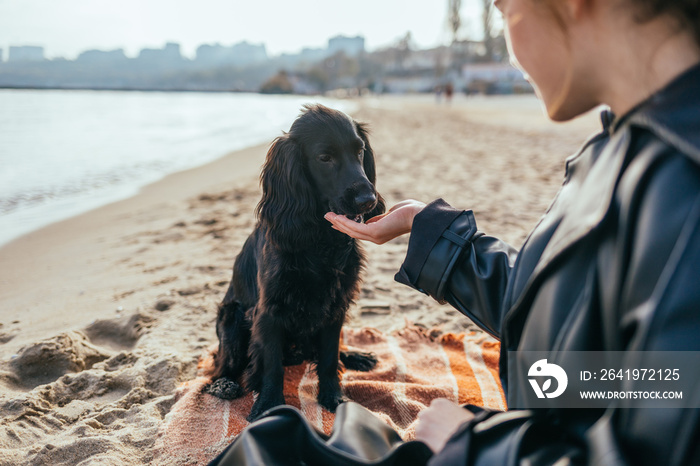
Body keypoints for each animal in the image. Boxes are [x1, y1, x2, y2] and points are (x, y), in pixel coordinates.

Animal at [205, 104, 386, 422]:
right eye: (324, 158)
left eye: (360, 151)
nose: (368, 200)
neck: (319, 240)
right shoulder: (269, 312)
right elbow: (272, 365)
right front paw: (268, 405)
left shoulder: (336, 305)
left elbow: (329, 357)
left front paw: (333, 397)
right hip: (232, 316)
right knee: (220, 364)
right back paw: (223, 384)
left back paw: (356, 356)